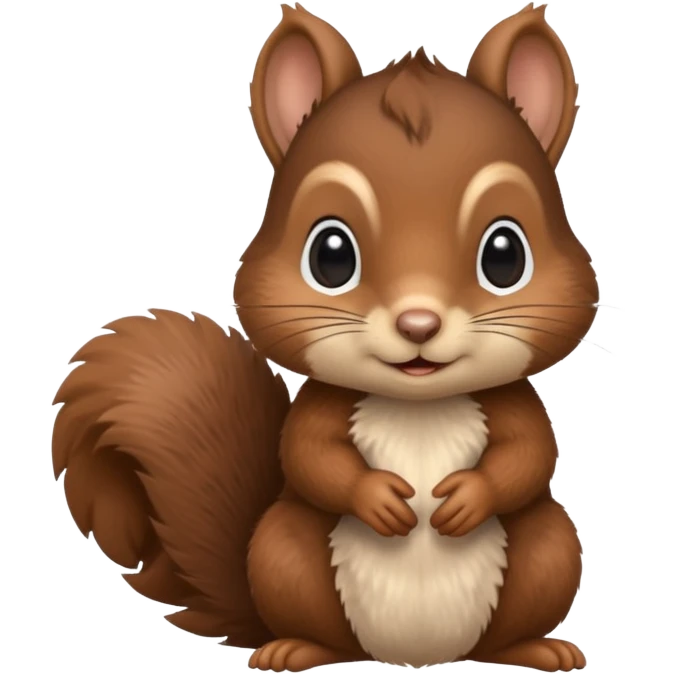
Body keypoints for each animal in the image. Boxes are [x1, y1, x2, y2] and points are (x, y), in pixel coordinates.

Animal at [50, 3, 598, 672]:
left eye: (505, 255)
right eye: (330, 255)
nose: (419, 325)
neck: (417, 403)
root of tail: (414, 657)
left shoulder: (514, 403)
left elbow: (529, 454)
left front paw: (467, 496)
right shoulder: (320, 408)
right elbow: (309, 456)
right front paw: (379, 499)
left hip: (550, 551)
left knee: (517, 612)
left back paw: (537, 647)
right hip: (283, 553)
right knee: (318, 622)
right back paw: (295, 648)